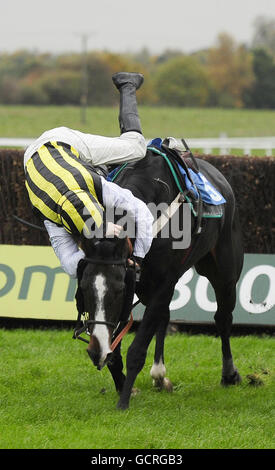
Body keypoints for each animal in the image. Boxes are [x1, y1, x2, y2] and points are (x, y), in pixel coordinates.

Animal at [76, 144, 245, 412]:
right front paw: (123, 384)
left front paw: (123, 400)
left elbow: (136, 349)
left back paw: (229, 374)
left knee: (223, 318)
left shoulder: (161, 282)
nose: (94, 350)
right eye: (83, 288)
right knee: (164, 316)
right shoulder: (139, 276)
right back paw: (159, 374)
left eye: (117, 289)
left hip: (224, 271)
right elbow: (118, 348)